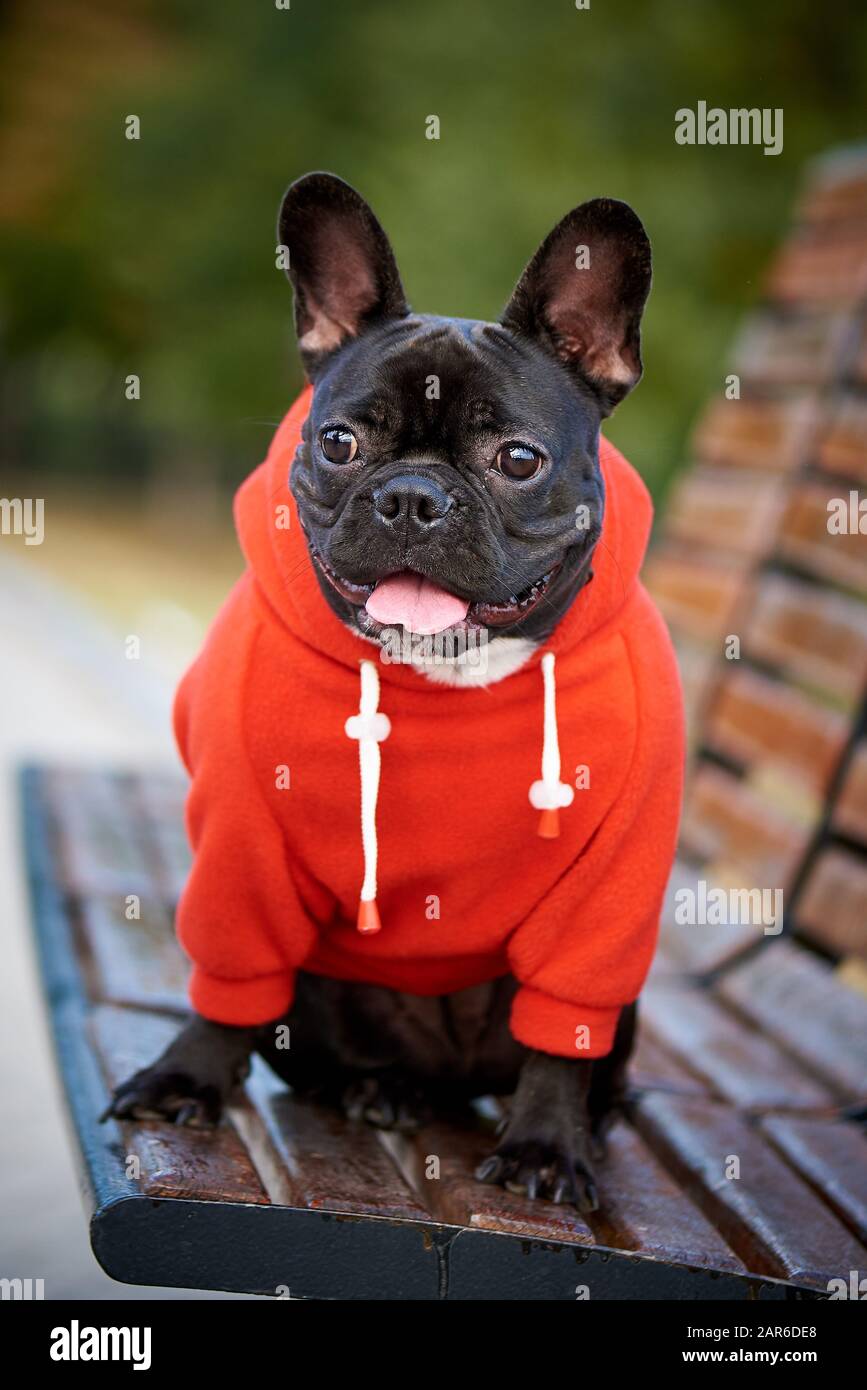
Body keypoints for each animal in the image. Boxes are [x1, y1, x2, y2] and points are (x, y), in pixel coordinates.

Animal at [103, 176, 683, 1217]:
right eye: (339, 442)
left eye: (518, 460)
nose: (412, 495)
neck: (441, 672)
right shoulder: (241, 837)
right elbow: (228, 971)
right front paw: (185, 1077)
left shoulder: (612, 889)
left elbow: (560, 1039)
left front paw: (547, 1144)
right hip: (319, 993)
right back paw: (378, 1089)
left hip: (622, 1007)